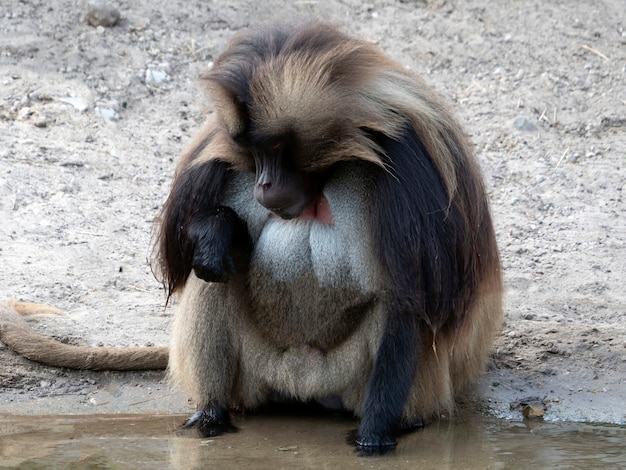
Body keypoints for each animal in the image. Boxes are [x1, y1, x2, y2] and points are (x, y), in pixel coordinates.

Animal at [0, 23, 500, 456]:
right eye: (254, 152)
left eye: (276, 150)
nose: (262, 184)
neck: (325, 178)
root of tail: (303, 383)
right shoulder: (217, 151)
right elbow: (185, 245)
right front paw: (215, 235)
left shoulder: (407, 163)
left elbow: (407, 301)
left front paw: (374, 438)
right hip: (259, 375)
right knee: (210, 281)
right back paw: (211, 415)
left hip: (382, 382)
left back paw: (402, 422)